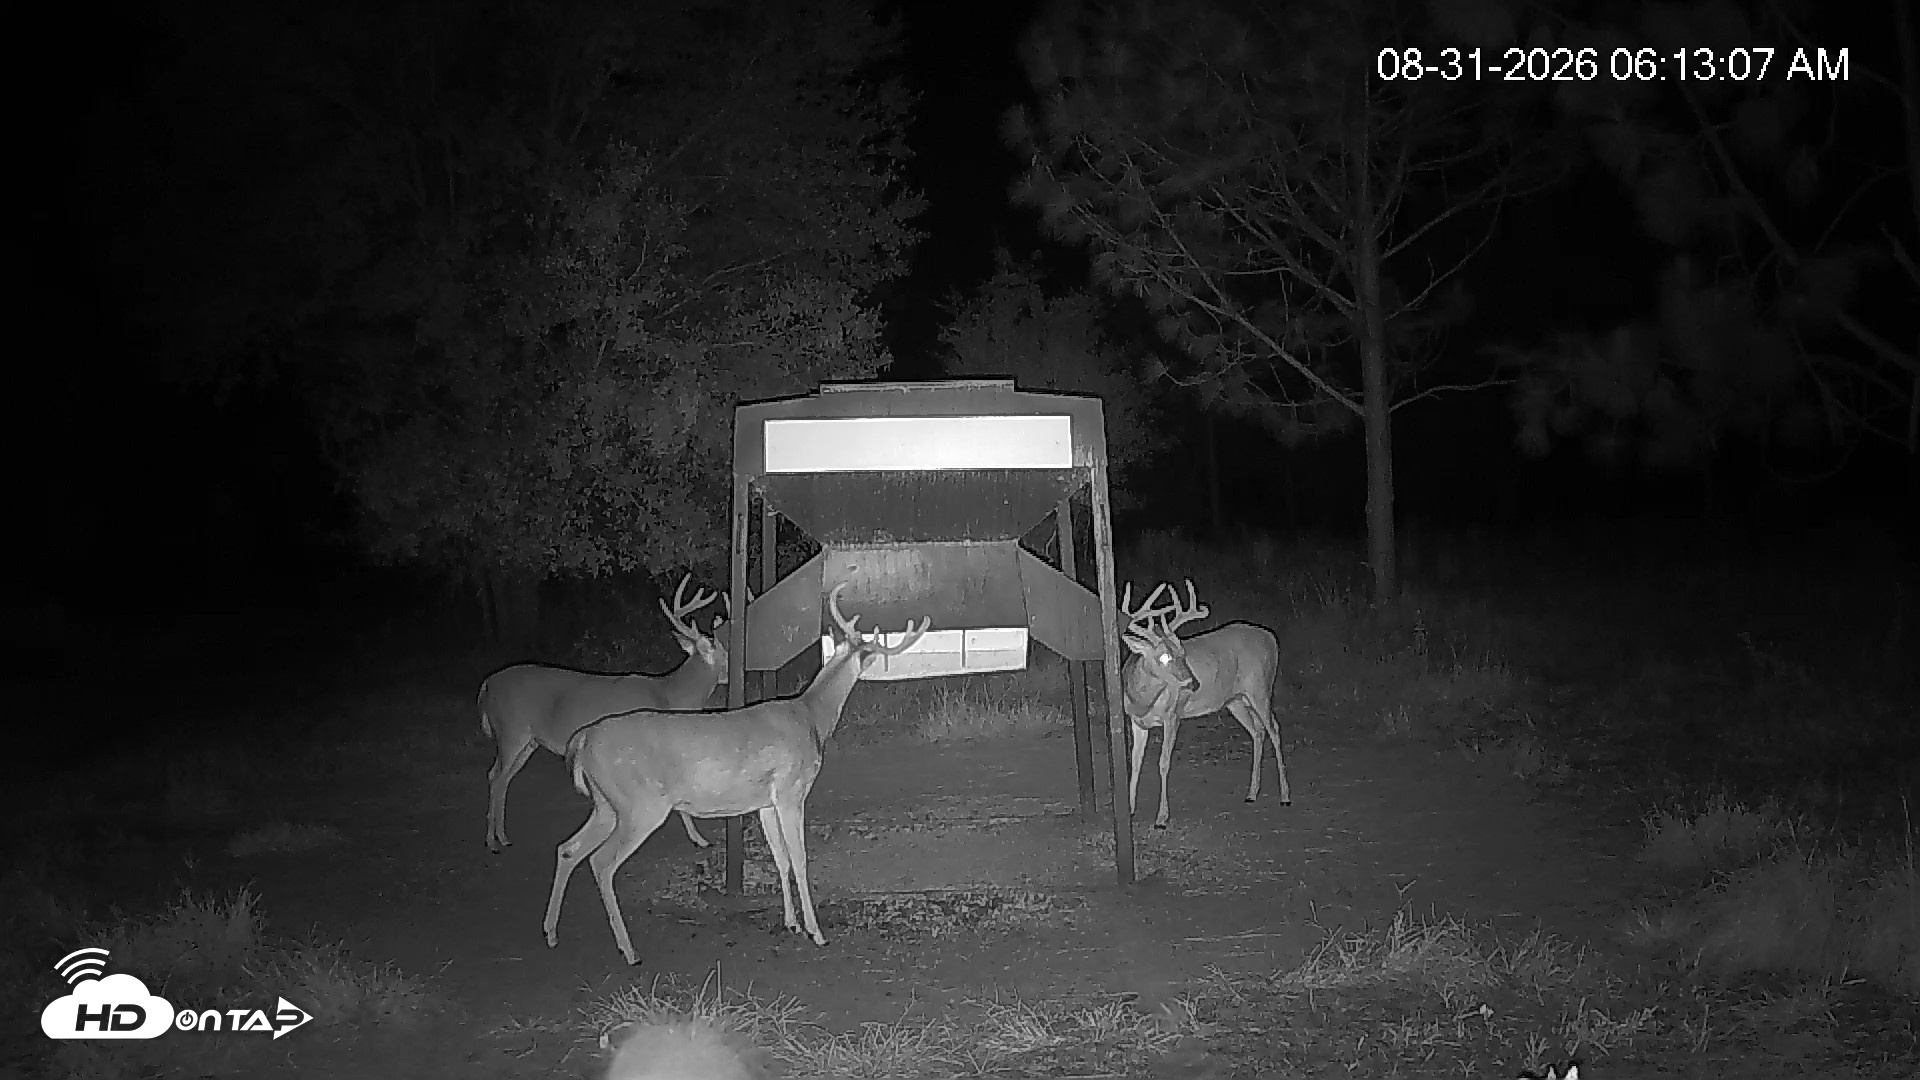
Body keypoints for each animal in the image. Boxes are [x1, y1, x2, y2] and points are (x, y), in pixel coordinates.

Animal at [479, 574, 734, 853]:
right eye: (727, 654)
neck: (669, 696)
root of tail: (487, 683)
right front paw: (700, 839)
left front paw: (698, 838)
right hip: (511, 730)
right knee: (495, 776)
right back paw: (492, 841)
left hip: (529, 741)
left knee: (503, 778)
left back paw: (503, 837)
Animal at [543, 582, 929, 964]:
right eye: (876, 654)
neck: (812, 716)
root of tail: (583, 740)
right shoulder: (791, 791)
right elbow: (800, 859)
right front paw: (816, 932)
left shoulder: (765, 803)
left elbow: (780, 858)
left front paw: (791, 922)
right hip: (640, 805)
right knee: (601, 862)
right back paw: (629, 950)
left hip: (607, 805)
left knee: (568, 848)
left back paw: (551, 933)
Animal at [1120, 578, 1291, 829]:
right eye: (1164, 657)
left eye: (1182, 651)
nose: (1193, 684)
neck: (1143, 699)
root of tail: (1272, 638)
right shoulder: (1137, 722)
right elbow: (1135, 762)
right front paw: (1130, 809)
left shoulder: (1173, 716)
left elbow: (1163, 763)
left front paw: (1161, 818)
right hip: (1236, 700)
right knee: (1258, 731)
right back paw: (1252, 793)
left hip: (1261, 689)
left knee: (1275, 729)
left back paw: (1285, 796)